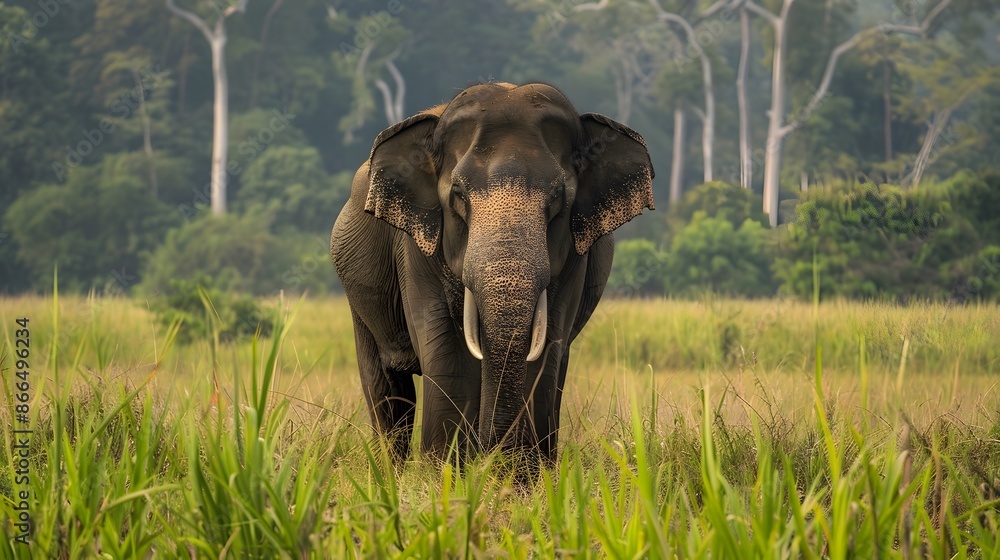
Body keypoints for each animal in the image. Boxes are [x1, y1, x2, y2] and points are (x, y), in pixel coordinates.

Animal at [331, 82, 654, 465]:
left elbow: (544, 352)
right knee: (386, 388)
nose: (492, 457)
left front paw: (519, 475)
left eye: (558, 198)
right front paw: (445, 473)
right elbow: (450, 355)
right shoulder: (416, 245)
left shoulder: (578, 252)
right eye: (457, 196)